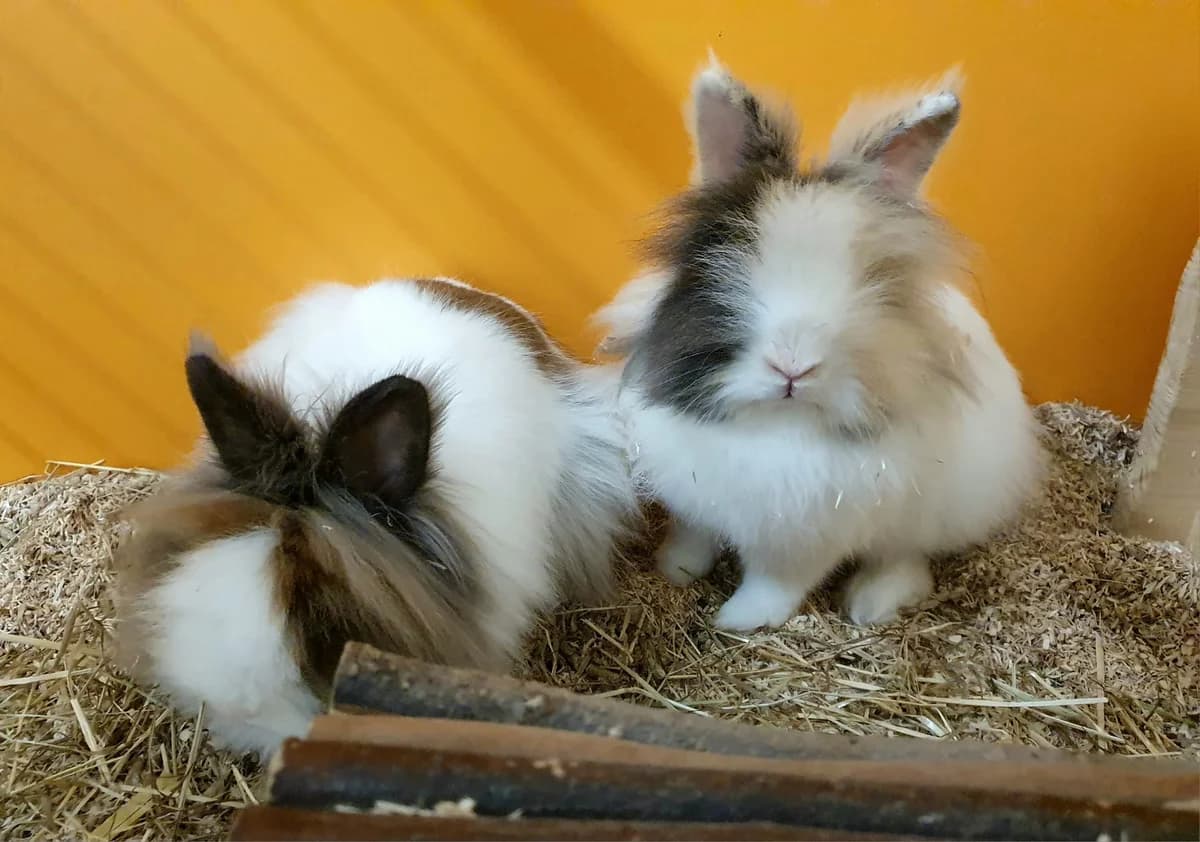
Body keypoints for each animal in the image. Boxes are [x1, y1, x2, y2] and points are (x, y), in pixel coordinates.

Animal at [594, 58, 1044, 632]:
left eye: (871, 278)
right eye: (723, 260)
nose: (794, 365)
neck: (775, 425)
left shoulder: (802, 541)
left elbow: (773, 586)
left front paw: (735, 621)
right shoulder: (692, 496)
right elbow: (692, 535)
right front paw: (674, 569)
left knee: (907, 560)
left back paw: (871, 604)